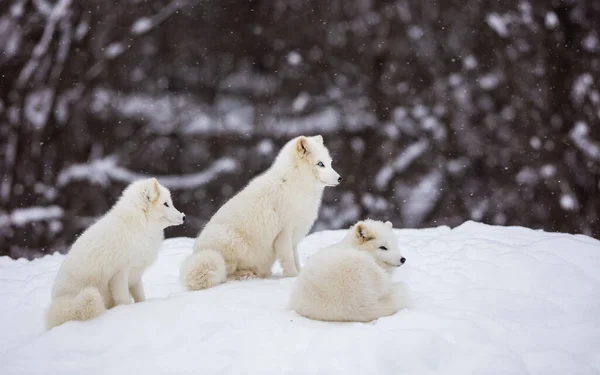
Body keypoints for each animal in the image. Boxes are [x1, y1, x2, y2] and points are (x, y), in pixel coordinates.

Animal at [46, 178, 184, 328]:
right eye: (166, 204)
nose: (183, 216)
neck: (137, 226)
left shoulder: (135, 275)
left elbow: (140, 296)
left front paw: (142, 306)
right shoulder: (119, 274)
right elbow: (124, 300)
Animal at [183, 135, 340, 290]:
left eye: (330, 163)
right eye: (320, 164)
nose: (340, 178)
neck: (295, 185)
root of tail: (197, 252)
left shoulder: (294, 235)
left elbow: (295, 258)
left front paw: (300, 273)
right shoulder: (284, 233)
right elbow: (289, 259)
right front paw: (293, 277)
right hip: (231, 246)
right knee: (225, 276)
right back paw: (246, 275)